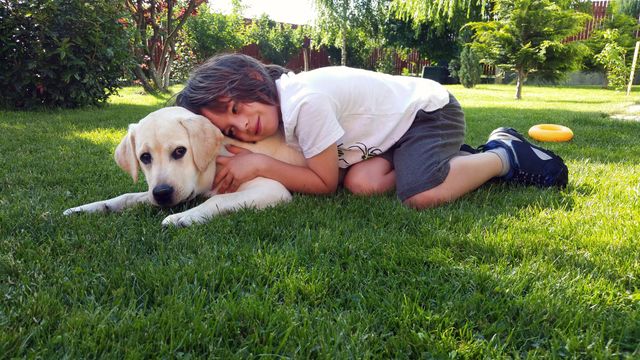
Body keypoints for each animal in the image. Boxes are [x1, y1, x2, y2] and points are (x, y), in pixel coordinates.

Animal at [65, 105, 304, 226]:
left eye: (180, 151)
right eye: (144, 157)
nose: (162, 193)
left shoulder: (271, 188)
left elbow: (219, 199)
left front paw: (185, 217)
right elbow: (127, 197)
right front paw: (86, 208)